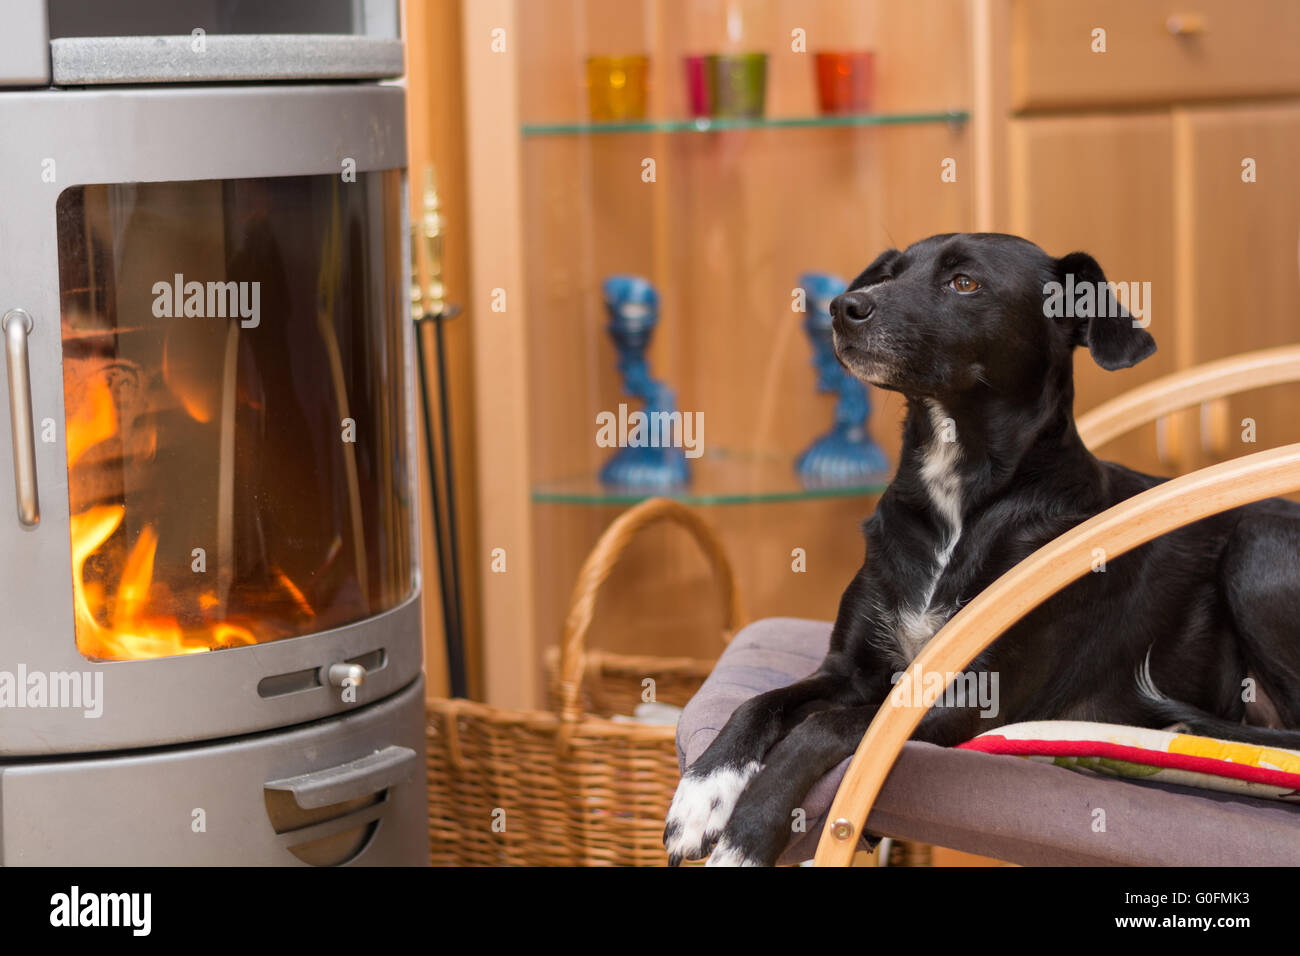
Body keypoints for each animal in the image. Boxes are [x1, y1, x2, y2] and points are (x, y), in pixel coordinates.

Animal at [665, 231, 1300, 868]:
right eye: (889, 273)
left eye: (964, 282)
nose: (843, 307)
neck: (955, 499)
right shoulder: (850, 670)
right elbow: (759, 702)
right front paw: (702, 794)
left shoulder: (969, 702)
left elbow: (819, 728)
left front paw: (746, 839)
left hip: (1257, 541)